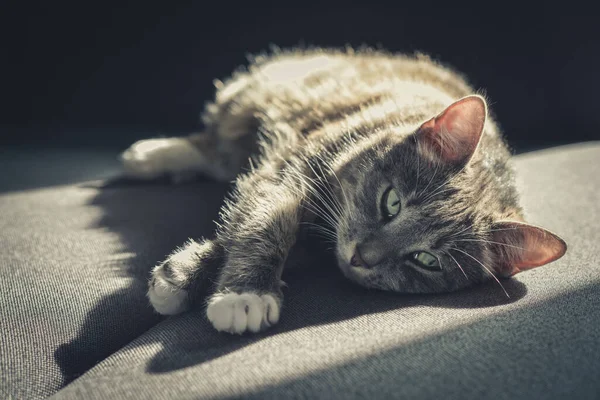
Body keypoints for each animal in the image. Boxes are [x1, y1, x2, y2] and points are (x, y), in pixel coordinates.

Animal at [120, 47, 568, 334]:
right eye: (391, 202)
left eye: (426, 261)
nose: (361, 257)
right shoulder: (293, 166)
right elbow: (263, 220)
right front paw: (238, 292)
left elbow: (245, 224)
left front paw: (198, 279)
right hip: (247, 103)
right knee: (215, 146)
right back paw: (151, 154)